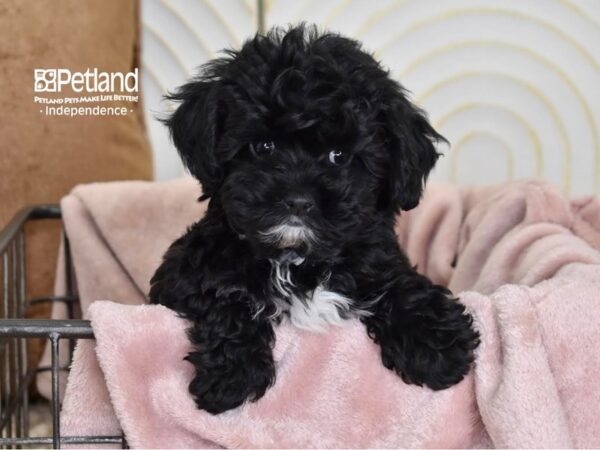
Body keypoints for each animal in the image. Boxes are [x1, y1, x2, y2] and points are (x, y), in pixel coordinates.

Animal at [150, 22, 478, 414]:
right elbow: (225, 297)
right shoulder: (182, 277)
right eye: (263, 147)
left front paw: (437, 347)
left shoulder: (379, 260)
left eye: (339, 156)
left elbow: (402, 285)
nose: (298, 201)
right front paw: (232, 376)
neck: (296, 260)